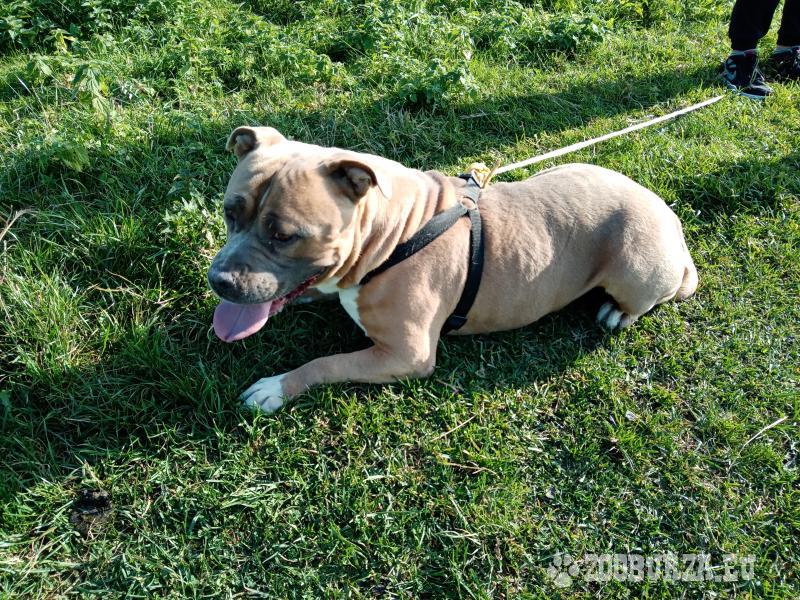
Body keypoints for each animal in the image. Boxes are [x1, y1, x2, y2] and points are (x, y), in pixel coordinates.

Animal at [208, 126, 698, 413]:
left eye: (283, 235)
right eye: (230, 212)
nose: (220, 280)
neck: (394, 231)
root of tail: (672, 220)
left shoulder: (406, 355)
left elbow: (325, 363)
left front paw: (277, 386)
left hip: (634, 267)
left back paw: (617, 312)